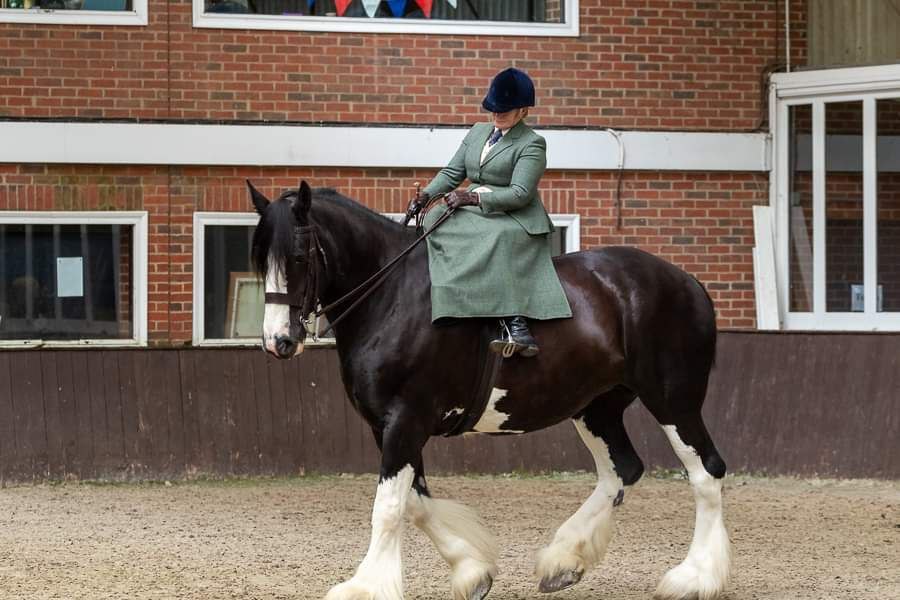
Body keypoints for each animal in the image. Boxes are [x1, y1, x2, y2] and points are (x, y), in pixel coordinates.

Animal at [246, 182, 732, 600]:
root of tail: (687, 281)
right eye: (259, 259)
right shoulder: (387, 427)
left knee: (706, 473)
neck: (392, 296)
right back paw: (563, 561)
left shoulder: (405, 420)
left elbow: (389, 507)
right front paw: (471, 571)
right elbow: (416, 503)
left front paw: (364, 587)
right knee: (622, 470)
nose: (278, 341)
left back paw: (693, 578)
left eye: (299, 257)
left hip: (672, 400)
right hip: (598, 407)